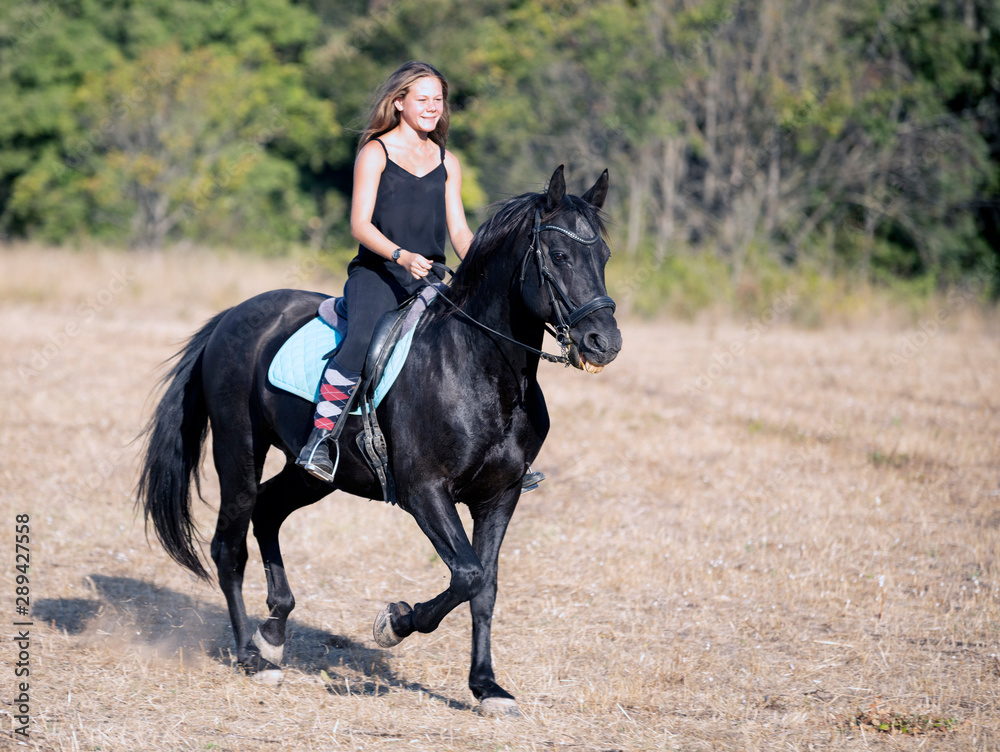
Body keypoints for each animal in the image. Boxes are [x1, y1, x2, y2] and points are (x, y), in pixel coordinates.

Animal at [137, 166, 620, 716]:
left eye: (604, 256)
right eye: (558, 255)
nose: (605, 343)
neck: (481, 367)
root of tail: (233, 316)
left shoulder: (501, 496)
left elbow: (486, 587)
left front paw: (487, 687)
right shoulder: (424, 491)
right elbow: (467, 574)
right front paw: (394, 622)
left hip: (315, 475)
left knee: (268, 511)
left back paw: (273, 633)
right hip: (238, 451)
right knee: (229, 546)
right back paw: (251, 657)